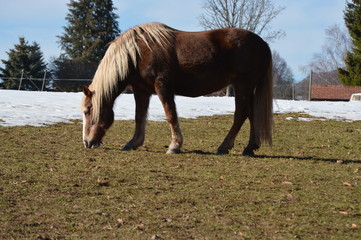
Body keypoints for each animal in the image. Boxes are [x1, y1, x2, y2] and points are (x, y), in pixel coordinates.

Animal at [81, 22, 272, 156]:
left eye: (88, 110)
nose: (87, 142)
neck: (138, 53)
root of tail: (262, 44)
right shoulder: (141, 90)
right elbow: (139, 117)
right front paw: (133, 143)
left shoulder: (162, 86)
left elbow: (170, 115)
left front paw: (174, 146)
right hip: (248, 88)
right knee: (252, 114)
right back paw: (250, 148)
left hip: (243, 86)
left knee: (240, 114)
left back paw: (224, 147)